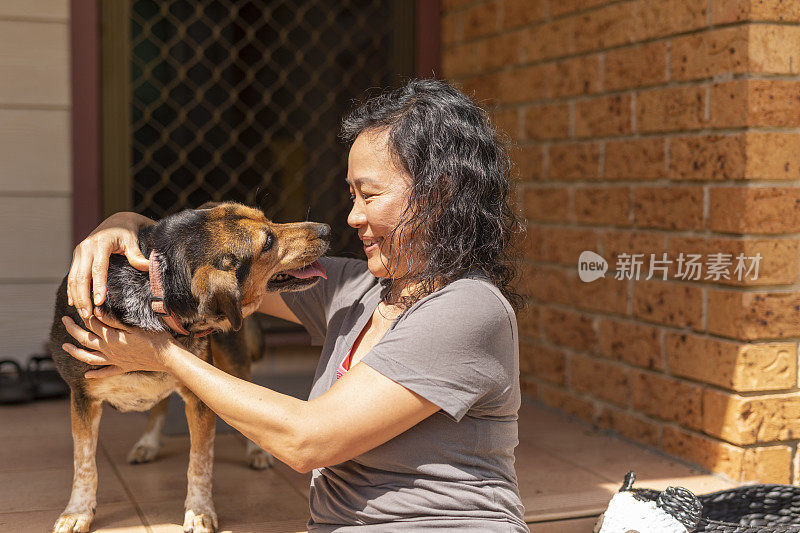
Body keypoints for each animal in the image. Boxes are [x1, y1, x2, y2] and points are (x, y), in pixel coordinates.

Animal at [48, 203, 330, 532]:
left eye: (267, 218)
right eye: (268, 242)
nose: (326, 229)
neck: (154, 288)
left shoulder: (201, 396)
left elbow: (200, 462)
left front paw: (199, 511)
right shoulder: (82, 397)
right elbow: (84, 463)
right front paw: (78, 511)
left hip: (232, 359)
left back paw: (257, 451)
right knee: (159, 401)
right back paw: (148, 443)